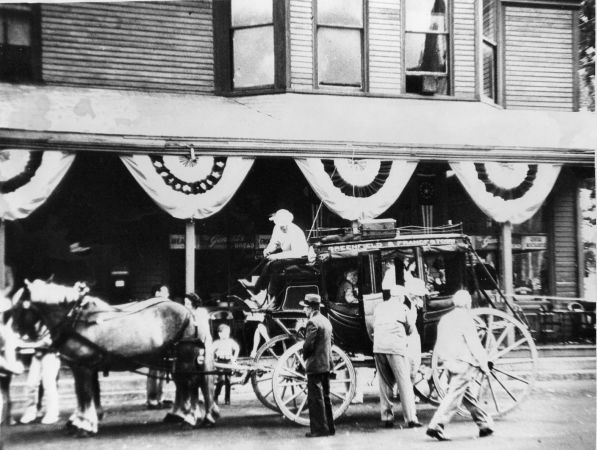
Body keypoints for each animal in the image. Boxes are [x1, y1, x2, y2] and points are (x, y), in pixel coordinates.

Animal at [11, 282, 218, 436]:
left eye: (20, 307)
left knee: (191, 383)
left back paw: (190, 419)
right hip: (175, 357)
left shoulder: (83, 366)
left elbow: (84, 393)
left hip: (185, 355)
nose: (14, 340)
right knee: (184, 383)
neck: (75, 318)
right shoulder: (84, 366)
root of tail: (189, 311)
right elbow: (87, 393)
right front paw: (83, 421)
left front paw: (84, 425)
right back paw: (183, 415)